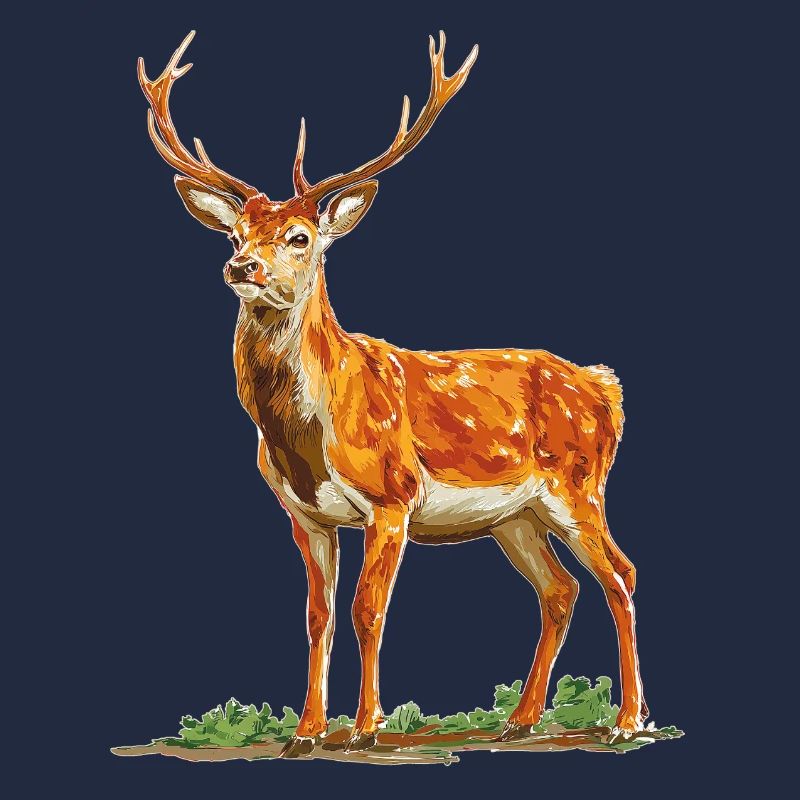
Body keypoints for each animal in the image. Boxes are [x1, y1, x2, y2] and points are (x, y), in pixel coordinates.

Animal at [138, 31, 647, 757]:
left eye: (300, 237)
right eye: (236, 233)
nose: (241, 266)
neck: (305, 433)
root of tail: (607, 387)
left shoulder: (392, 496)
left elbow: (367, 609)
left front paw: (363, 728)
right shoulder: (304, 515)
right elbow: (317, 615)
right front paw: (306, 732)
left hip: (579, 486)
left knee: (620, 574)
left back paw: (629, 720)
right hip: (515, 516)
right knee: (560, 589)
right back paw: (520, 720)